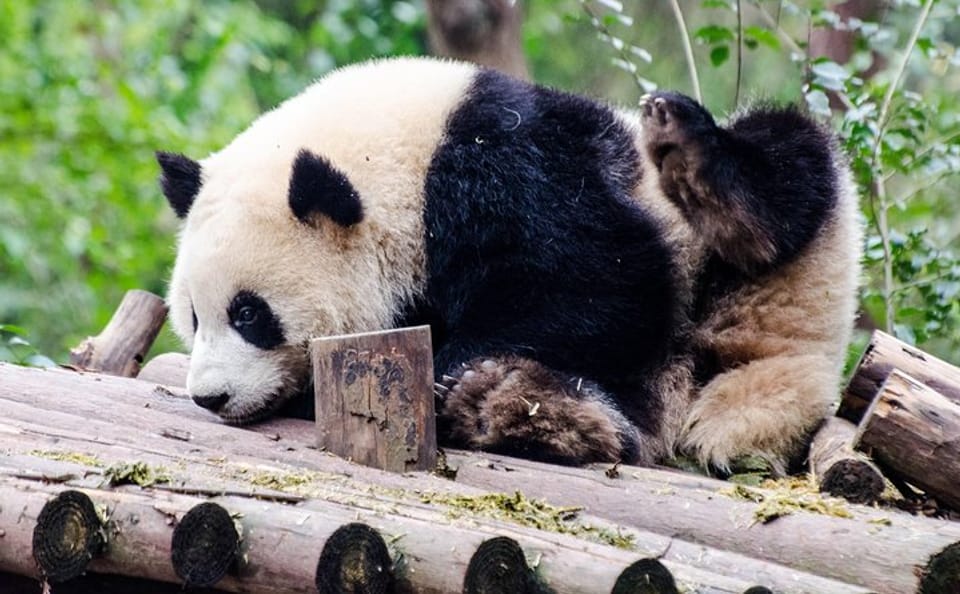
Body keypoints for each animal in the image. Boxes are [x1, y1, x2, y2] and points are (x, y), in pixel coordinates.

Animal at [158, 56, 861, 473]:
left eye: (250, 314)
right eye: (191, 318)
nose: (211, 396)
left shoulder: (508, 167)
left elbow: (602, 283)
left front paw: (453, 362)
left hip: (777, 256)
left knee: (788, 168)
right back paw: (518, 407)